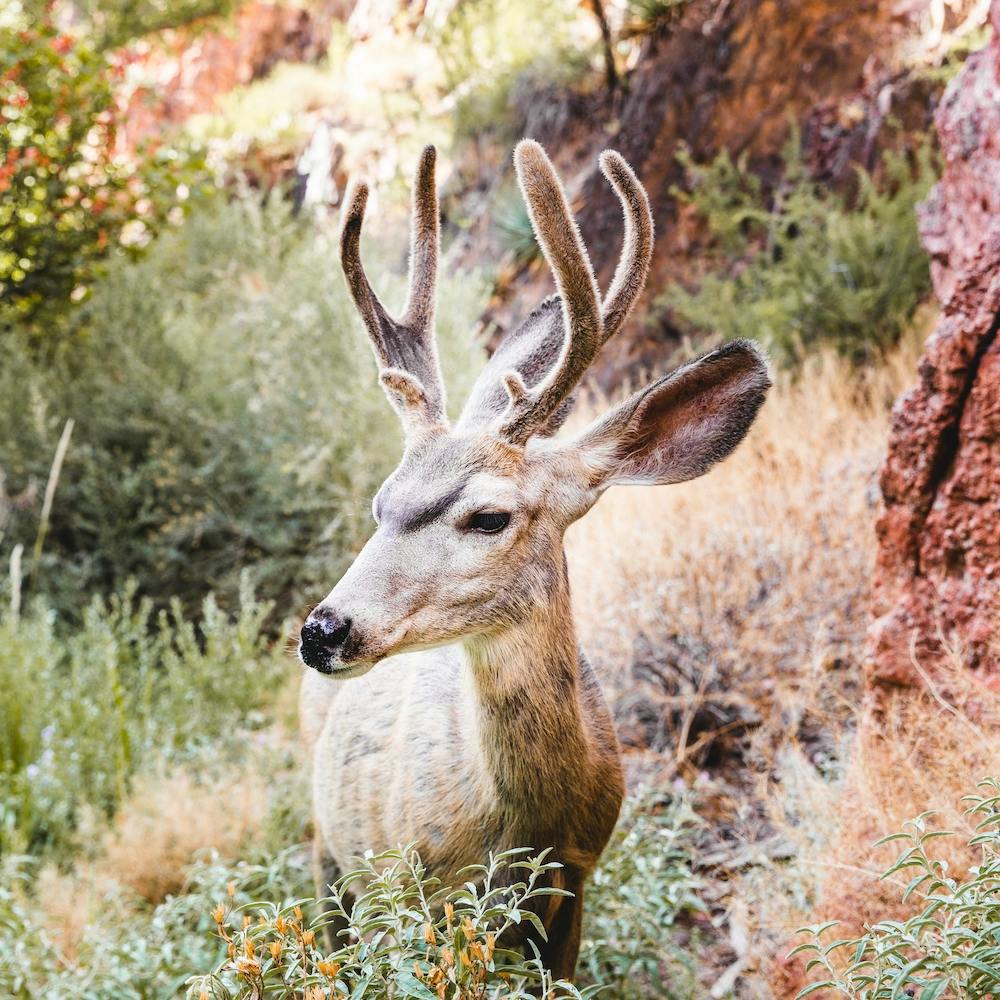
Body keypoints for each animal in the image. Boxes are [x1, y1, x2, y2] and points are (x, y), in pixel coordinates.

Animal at [298, 139, 771, 981]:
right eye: (382, 502)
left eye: (490, 516)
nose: (323, 630)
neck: (523, 831)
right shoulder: (400, 889)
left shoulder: (578, 879)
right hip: (330, 849)